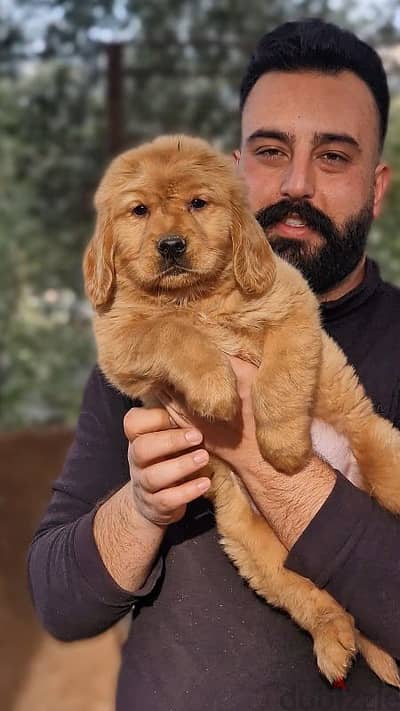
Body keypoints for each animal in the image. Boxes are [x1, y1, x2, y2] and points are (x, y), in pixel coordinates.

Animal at [83, 135, 398, 688]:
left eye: (198, 203)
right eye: (139, 211)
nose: (171, 246)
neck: (194, 298)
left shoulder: (291, 306)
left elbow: (279, 379)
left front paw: (284, 447)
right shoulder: (120, 341)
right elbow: (170, 332)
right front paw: (214, 387)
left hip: (384, 451)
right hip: (254, 549)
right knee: (317, 600)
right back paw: (333, 646)